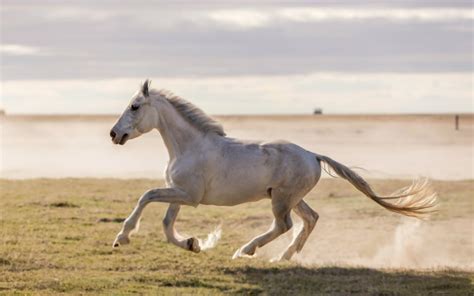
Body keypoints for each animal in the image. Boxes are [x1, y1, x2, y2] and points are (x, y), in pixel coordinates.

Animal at [110, 81, 436, 262]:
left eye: (135, 106)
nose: (114, 134)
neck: (190, 146)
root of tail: (313, 155)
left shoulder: (189, 196)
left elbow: (146, 196)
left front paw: (122, 236)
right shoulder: (181, 193)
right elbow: (167, 224)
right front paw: (193, 244)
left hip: (281, 200)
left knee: (284, 225)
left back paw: (246, 251)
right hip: (291, 198)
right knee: (310, 219)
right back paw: (283, 257)